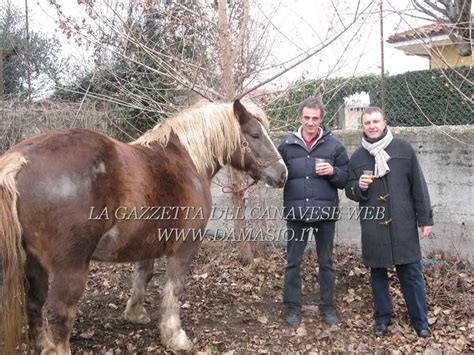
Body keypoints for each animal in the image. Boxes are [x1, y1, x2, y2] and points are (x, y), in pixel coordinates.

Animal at [0, 101, 286, 355]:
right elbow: (173, 288)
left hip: (33, 263)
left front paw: (135, 313)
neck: (187, 161)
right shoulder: (185, 246)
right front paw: (175, 336)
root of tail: (20, 160)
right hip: (70, 268)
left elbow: (143, 276)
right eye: (255, 134)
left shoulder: (147, 241)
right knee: (59, 313)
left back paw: (42, 345)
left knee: (34, 305)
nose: (282, 173)